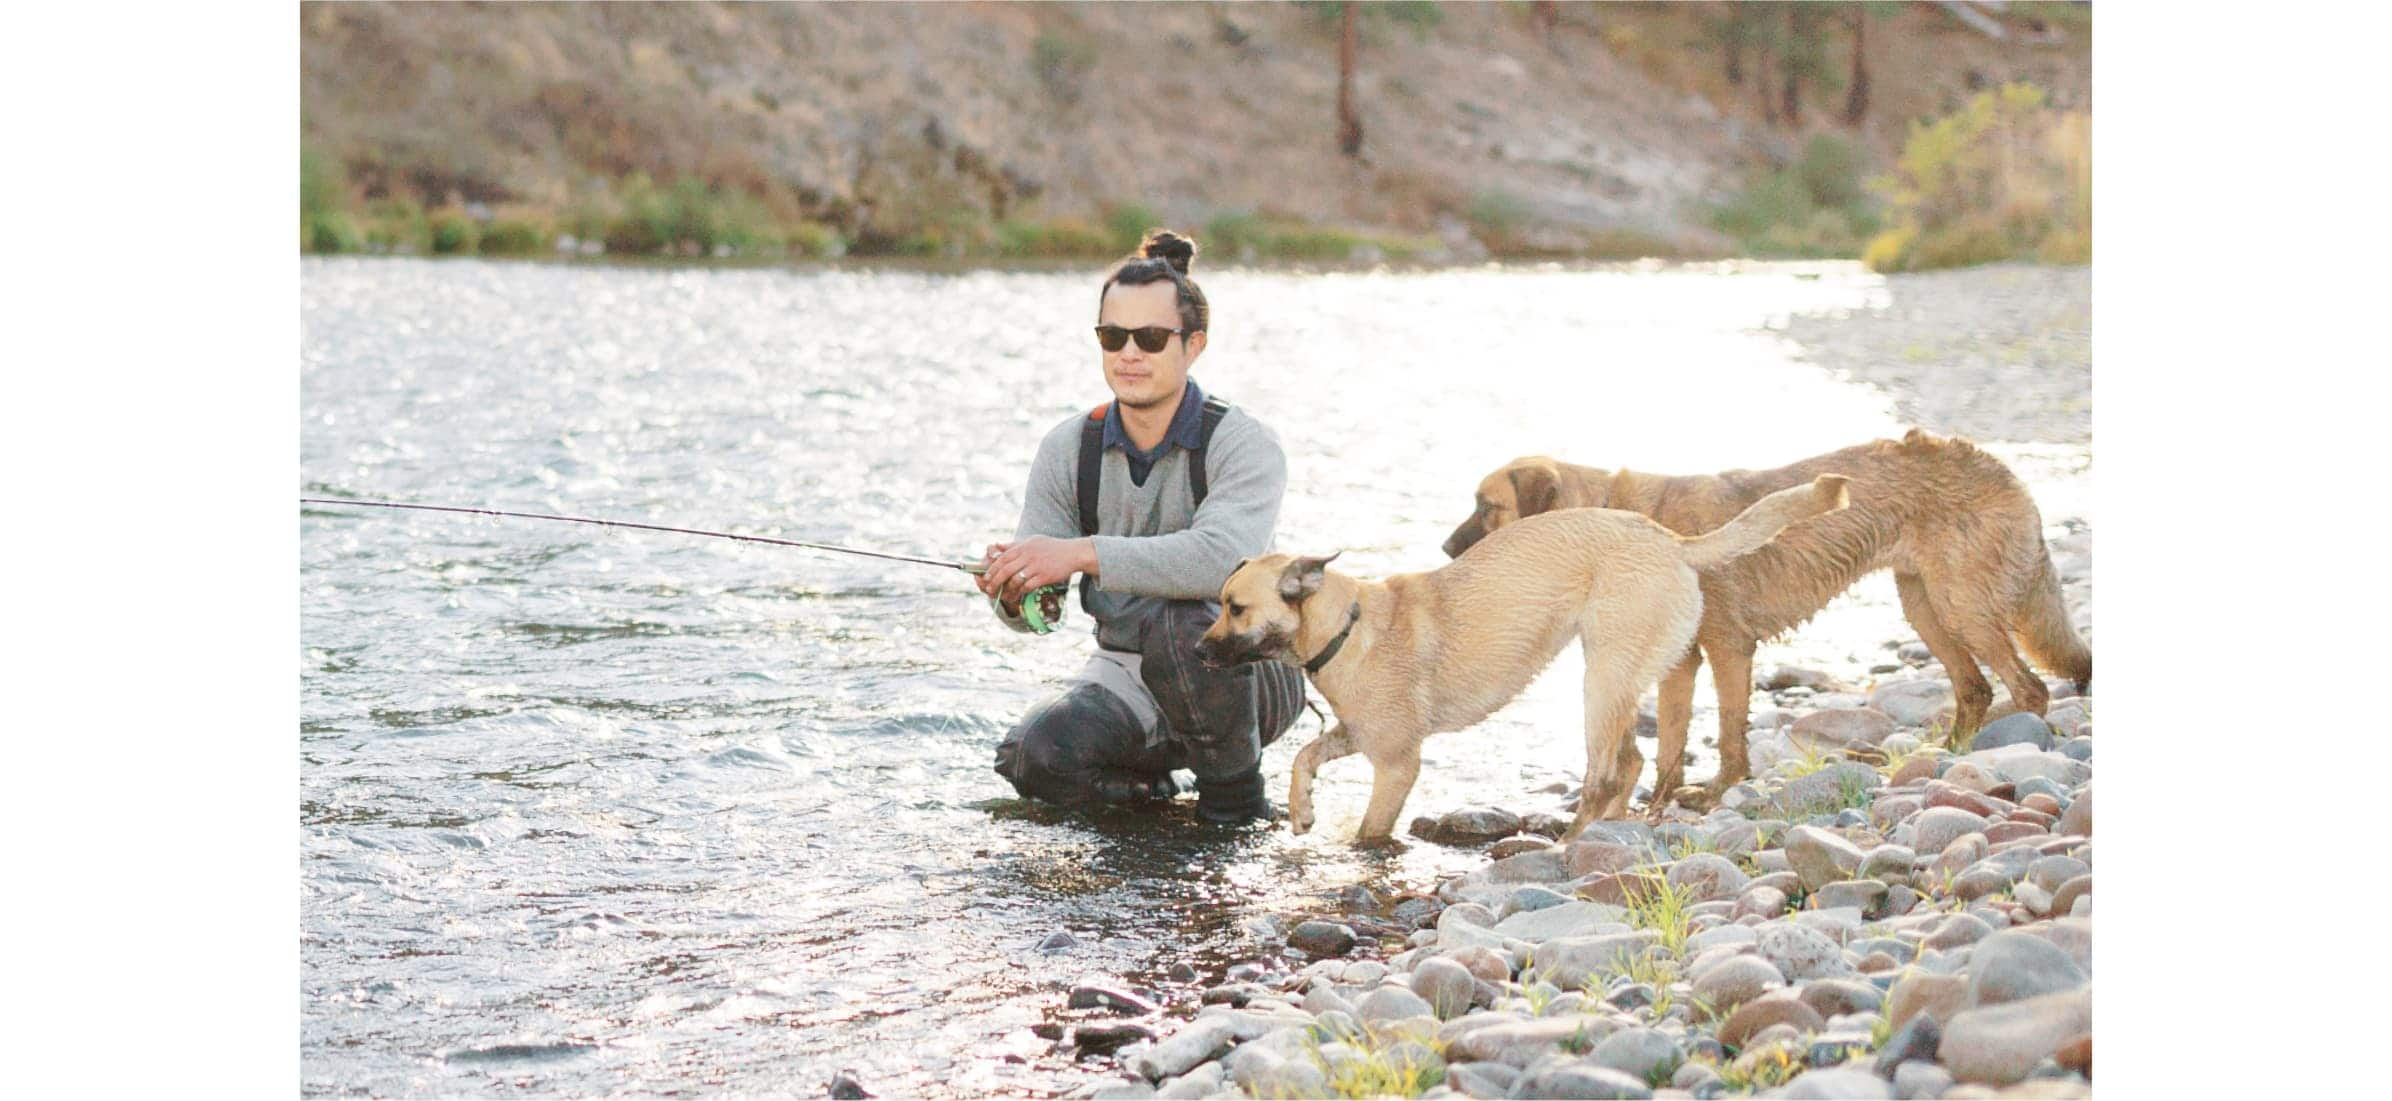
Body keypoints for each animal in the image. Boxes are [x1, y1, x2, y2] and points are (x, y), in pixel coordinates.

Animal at [1196, 473, 1846, 842]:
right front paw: (1302, 812)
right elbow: (1304, 758)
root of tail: (1672, 542)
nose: (1197, 651)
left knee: (1605, 773)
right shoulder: (1359, 734)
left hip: (1601, 679)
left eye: (1234, 607)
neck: (1345, 626)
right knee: (1632, 763)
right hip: (1619, 679)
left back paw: (1573, 839)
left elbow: (1369, 834)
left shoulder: (1398, 763)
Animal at [1435, 433, 2095, 808]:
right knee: (1976, 687)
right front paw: (1661, 802)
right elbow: (1672, 739)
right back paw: (1943, 756)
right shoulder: (1682, 661)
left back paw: (2000, 748)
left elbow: (1728, 732)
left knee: (2028, 688)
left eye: (1486, 507)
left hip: (1961, 605)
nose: (1443, 549)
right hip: (1925, 607)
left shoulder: (1728, 647)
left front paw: (1720, 791)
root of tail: (1997, 464)